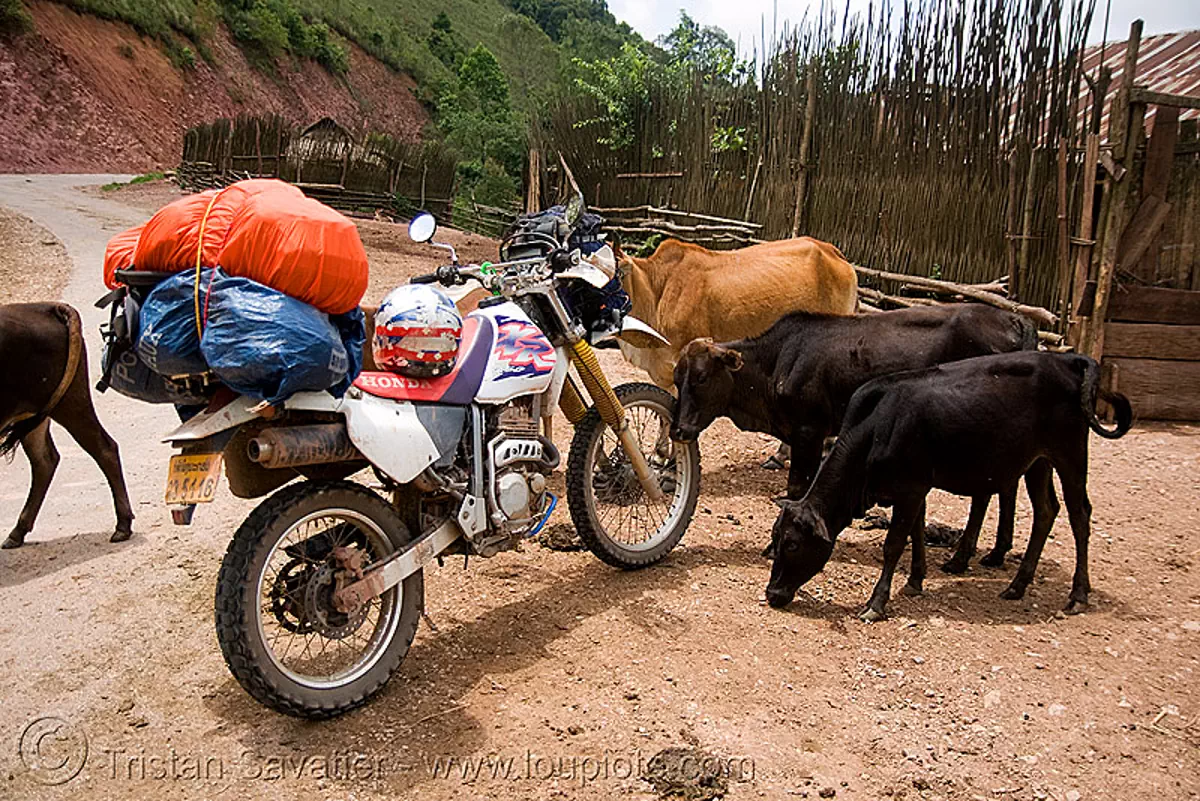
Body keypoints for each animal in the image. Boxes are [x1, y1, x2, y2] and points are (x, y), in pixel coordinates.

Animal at [768, 350, 1132, 618]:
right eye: (775, 537)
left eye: (792, 544)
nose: (772, 593)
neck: (878, 427)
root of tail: (1068, 359)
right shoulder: (915, 490)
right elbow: (916, 534)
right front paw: (914, 581)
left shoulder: (911, 487)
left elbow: (894, 544)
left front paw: (876, 603)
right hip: (1037, 462)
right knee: (1046, 511)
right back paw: (1017, 585)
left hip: (1070, 453)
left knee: (1079, 515)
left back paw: (1078, 595)